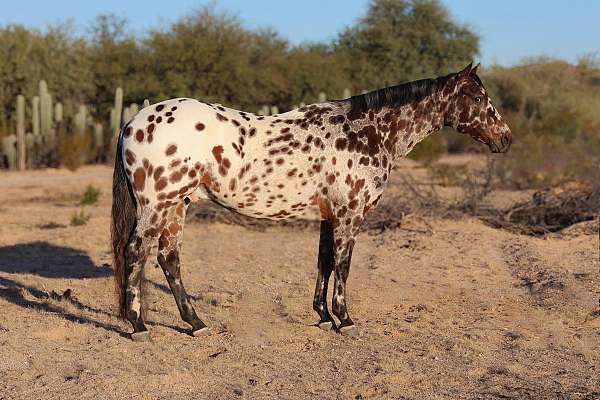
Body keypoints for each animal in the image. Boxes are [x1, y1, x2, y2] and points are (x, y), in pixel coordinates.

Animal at [111, 61, 510, 340]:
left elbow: (324, 263)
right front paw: (345, 320)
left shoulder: (328, 216)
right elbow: (343, 266)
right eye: (477, 98)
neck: (367, 132)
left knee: (168, 259)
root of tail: (134, 121)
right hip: (157, 206)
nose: (505, 138)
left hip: (177, 205)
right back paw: (139, 326)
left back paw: (195, 323)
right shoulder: (349, 216)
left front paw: (322, 316)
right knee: (136, 253)